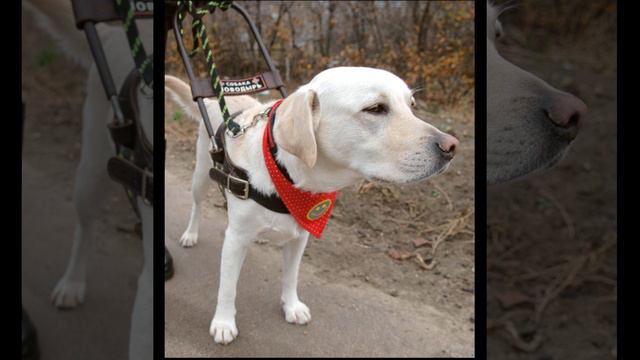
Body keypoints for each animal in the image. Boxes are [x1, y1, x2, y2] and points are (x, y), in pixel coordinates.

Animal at [165, 67, 460, 344]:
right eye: (376, 109)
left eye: (411, 105)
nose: (451, 146)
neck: (288, 176)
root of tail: (217, 102)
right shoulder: (235, 239)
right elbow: (228, 287)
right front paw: (224, 323)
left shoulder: (300, 236)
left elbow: (291, 276)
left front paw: (291, 306)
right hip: (201, 176)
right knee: (197, 206)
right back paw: (190, 234)